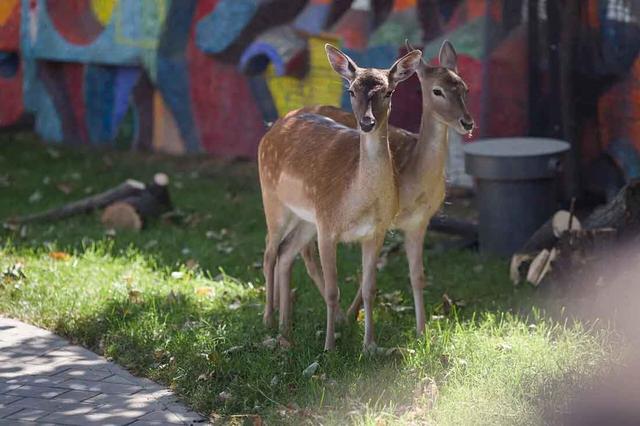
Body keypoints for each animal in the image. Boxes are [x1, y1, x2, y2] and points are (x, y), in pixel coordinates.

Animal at [258, 44, 422, 350]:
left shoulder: (376, 232)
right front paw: (329, 347)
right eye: (351, 90)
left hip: (306, 219)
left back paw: (286, 327)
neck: (358, 202)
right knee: (269, 252)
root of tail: (273, 127)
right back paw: (268, 320)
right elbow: (333, 290)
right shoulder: (328, 228)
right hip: (272, 200)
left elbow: (369, 289)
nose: (367, 122)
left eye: (388, 92)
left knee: (286, 253)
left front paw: (369, 346)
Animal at [292, 41, 472, 338]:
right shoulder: (386, 221)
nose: (467, 123)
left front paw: (421, 333)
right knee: (305, 250)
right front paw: (351, 318)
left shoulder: (417, 221)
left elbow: (416, 275)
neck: (414, 181)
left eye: (465, 87)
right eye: (437, 90)